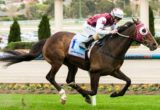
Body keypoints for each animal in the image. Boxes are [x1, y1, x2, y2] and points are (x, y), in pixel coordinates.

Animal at [0, 18, 158, 104]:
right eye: (144, 30)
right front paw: (87, 94)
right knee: (50, 77)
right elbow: (93, 91)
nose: (155, 44)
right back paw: (63, 96)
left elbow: (129, 81)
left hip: (72, 64)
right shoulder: (94, 72)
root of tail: (49, 39)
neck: (110, 48)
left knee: (70, 80)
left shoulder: (114, 71)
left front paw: (115, 94)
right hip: (57, 62)